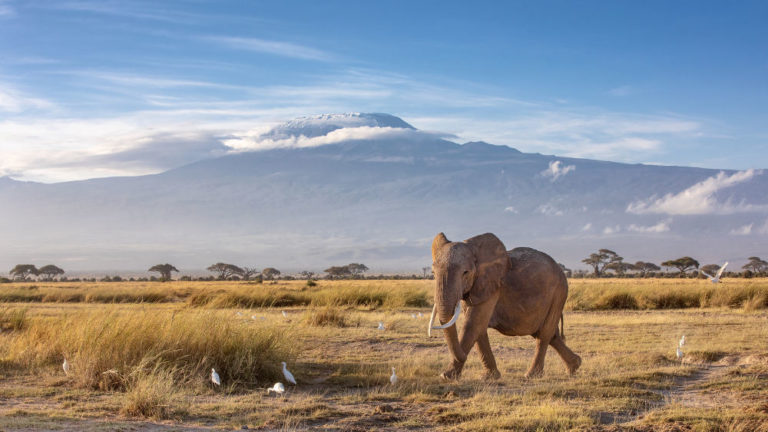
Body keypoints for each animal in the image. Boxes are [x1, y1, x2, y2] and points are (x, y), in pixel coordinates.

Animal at [426, 231, 584, 380]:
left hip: (559, 292)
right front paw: (490, 377)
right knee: (550, 334)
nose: (464, 357)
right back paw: (574, 366)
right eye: (433, 272)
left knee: (544, 333)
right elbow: (479, 328)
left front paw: (446, 376)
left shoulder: (493, 286)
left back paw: (531, 375)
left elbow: (473, 325)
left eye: (466, 272)